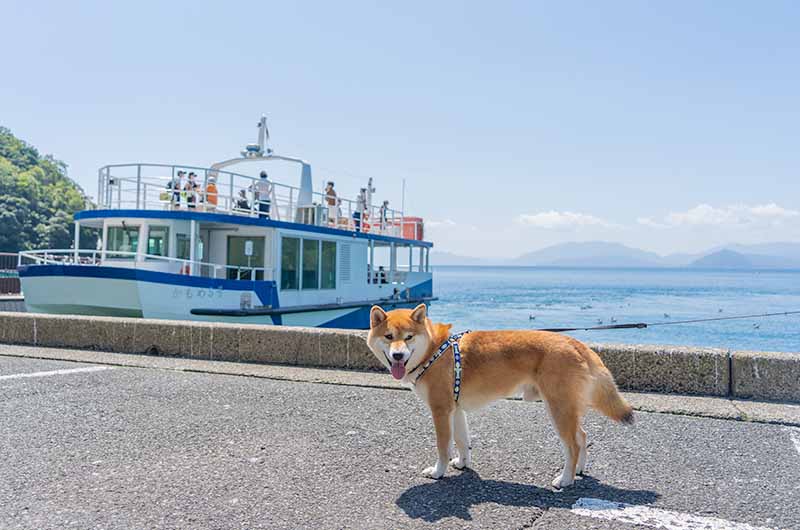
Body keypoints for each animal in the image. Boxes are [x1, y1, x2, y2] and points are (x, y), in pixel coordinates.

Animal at [366, 302, 636, 486]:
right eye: (389, 337)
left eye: (408, 337)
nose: (398, 355)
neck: (434, 349)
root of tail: (576, 343)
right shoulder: (455, 408)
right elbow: (462, 441)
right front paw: (462, 464)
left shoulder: (440, 410)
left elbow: (443, 446)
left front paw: (438, 472)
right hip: (566, 407)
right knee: (582, 436)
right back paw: (579, 470)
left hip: (558, 407)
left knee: (573, 445)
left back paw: (566, 479)